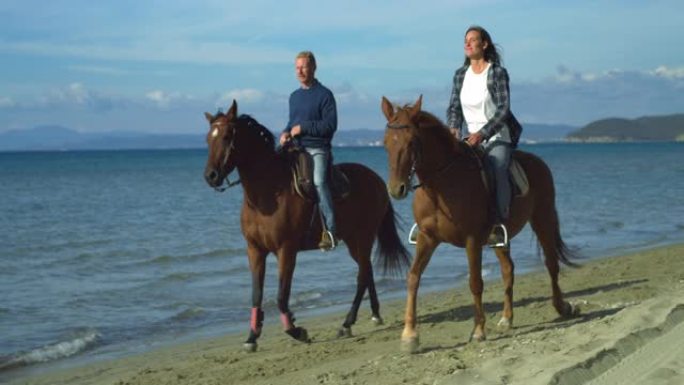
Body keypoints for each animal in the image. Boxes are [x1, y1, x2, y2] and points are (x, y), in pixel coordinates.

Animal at [204, 100, 412, 352]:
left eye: (226, 137)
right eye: (208, 139)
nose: (210, 176)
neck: (267, 194)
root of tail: (379, 181)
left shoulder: (286, 250)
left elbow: (281, 296)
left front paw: (296, 331)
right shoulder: (255, 251)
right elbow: (256, 295)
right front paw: (252, 336)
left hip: (362, 238)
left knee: (362, 276)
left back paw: (347, 323)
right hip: (355, 241)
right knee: (367, 271)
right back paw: (374, 314)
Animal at [380, 95, 576, 352]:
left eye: (412, 141)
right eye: (385, 143)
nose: (396, 189)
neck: (441, 185)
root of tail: (538, 162)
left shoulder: (471, 239)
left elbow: (475, 282)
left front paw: (479, 330)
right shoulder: (427, 237)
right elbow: (413, 278)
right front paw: (410, 336)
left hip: (543, 219)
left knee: (551, 264)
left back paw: (562, 307)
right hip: (499, 238)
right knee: (508, 270)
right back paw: (507, 318)